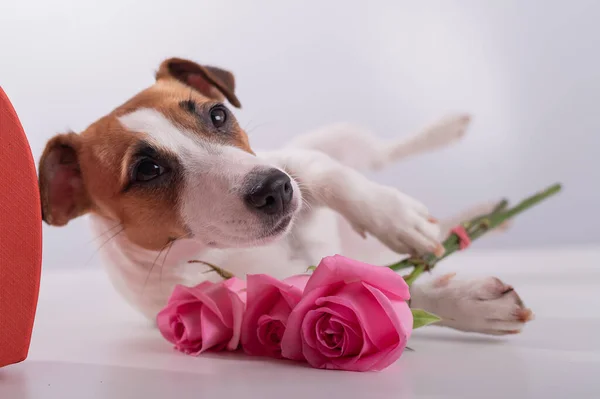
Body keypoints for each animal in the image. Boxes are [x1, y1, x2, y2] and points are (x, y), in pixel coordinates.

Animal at [38, 57, 536, 336]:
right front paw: (468, 303)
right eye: (147, 170)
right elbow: (375, 292)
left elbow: (322, 171)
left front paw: (393, 216)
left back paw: (450, 136)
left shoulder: (290, 164)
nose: (274, 189)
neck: (220, 251)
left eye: (218, 114)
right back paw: (481, 217)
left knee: (383, 152)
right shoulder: (273, 298)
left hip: (347, 141)